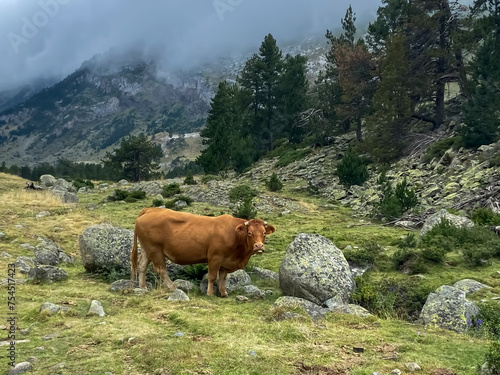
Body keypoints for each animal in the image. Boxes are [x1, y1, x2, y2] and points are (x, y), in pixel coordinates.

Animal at [131, 209, 276, 296]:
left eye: (264, 233)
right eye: (249, 233)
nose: (259, 246)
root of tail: (151, 209)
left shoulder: (226, 261)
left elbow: (223, 277)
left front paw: (223, 293)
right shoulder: (215, 257)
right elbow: (212, 276)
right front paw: (210, 293)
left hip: (147, 249)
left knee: (142, 265)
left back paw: (143, 287)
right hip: (155, 249)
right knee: (161, 269)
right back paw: (173, 287)